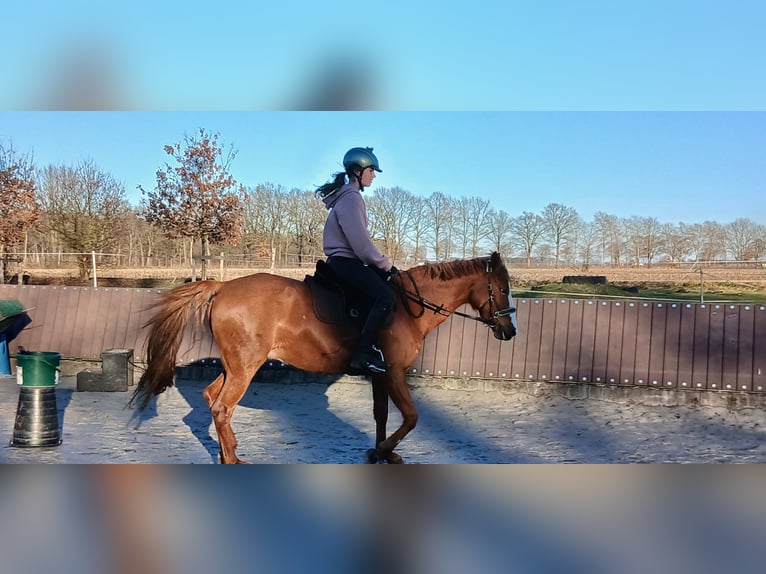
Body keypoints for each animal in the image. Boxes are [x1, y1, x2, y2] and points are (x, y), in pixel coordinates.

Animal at [130, 251, 517, 464]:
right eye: (502, 288)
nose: (510, 331)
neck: (408, 307)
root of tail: (223, 286)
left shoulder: (380, 374)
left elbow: (381, 415)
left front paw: (382, 453)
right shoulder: (394, 372)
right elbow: (411, 418)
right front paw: (381, 451)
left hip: (235, 365)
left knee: (212, 399)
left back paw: (230, 454)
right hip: (244, 367)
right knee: (223, 408)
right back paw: (233, 460)